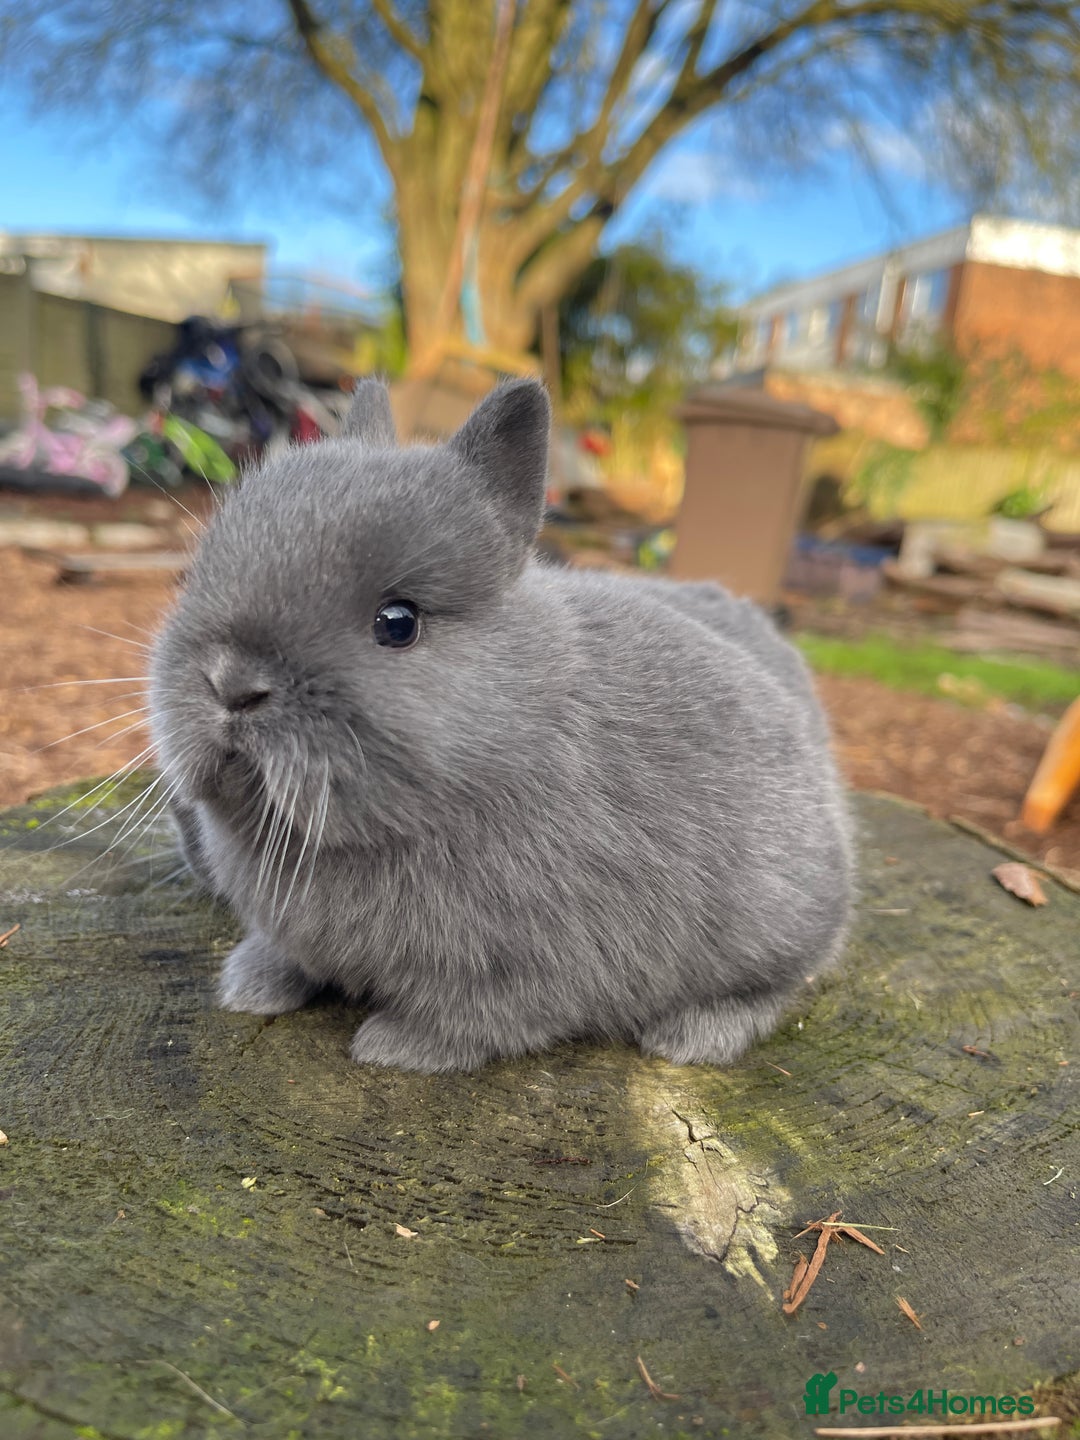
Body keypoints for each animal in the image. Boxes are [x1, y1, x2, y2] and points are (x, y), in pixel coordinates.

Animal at [149, 377, 852, 1073]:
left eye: (397, 623)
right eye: (196, 574)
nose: (231, 684)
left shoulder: (526, 964)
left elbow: (477, 1018)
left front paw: (394, 1048)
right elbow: (285, 954)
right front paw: (249, 987)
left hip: (774, 927)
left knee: (775, 987)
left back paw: (690, 1037)